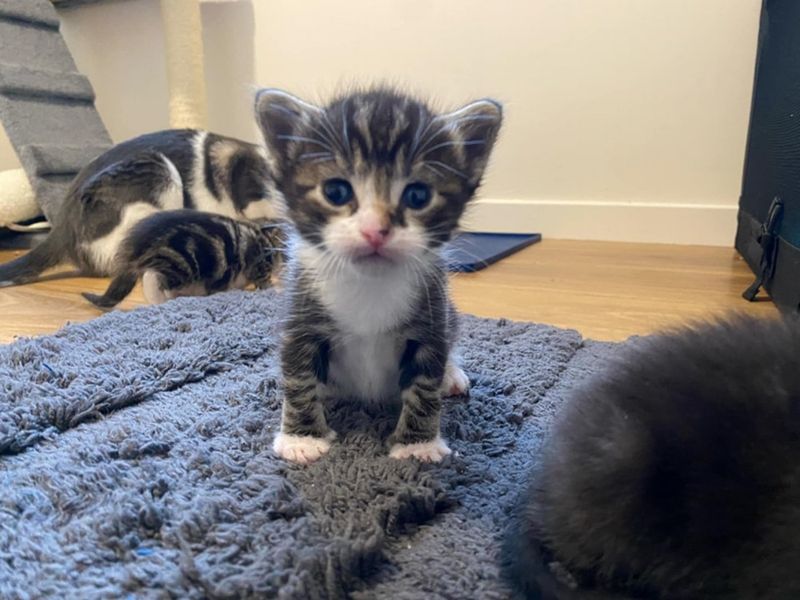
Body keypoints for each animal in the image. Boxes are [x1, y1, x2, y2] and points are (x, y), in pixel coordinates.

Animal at [256, 85, 504, 464]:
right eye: (335, 192)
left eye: (418, 195)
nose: (375, 231)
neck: (368, 284)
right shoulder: (299, 317)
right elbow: (298, 376)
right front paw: (303, 438)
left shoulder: (431, 319)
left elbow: (425, 384)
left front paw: (417, 445)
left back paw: (451, 375)